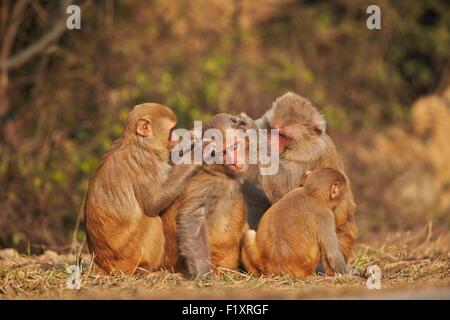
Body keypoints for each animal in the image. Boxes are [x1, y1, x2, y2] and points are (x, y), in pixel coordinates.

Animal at [84, 104, 202, 274]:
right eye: (172, 130)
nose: (175, 138)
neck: (140, 143)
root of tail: (101, 264)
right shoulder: (146, 163)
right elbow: (154, 203)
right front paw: (199, 153)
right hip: (128, 258)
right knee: (152, 219)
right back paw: (145, 269)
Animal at [159, 114, 250, 278]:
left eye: (234, 147)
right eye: (223, 153)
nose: (235, 162)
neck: (219, 171)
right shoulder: (207, 183)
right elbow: (191, 216)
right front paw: (202, 273)